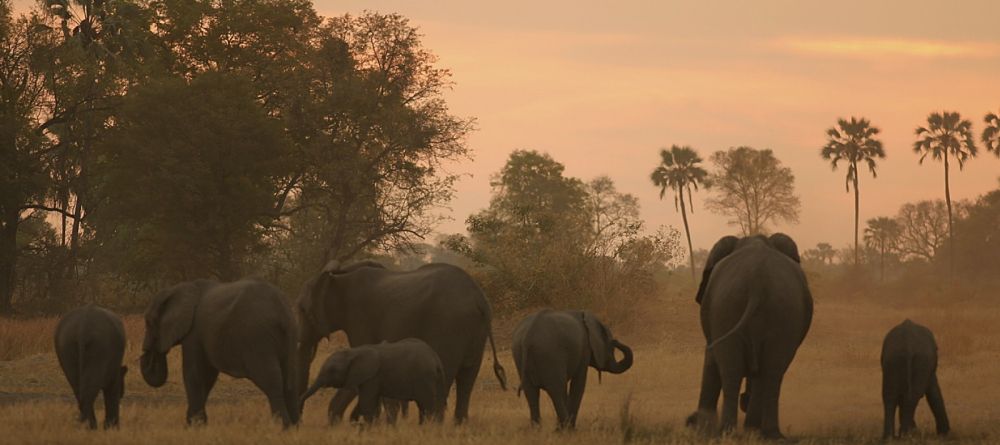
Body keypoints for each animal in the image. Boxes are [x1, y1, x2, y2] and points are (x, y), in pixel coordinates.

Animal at [139, 279, 300, 427]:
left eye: (148, 322)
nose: (147, 355)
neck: (177, 289)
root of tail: (282, 311)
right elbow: (207, 376)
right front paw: (198, 423)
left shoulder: (194, 333)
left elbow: (194, 373)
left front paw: (194, 425)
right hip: (289, 337)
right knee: (290, 381)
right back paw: (295, 427)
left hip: (258, 337)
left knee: (271, 381)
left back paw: (282, 427)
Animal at [300, 338, 446, 424]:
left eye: (332, 370)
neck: (353, 352)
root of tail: (436, 359)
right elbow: (369, 403)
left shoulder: (372, 377)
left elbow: (367, 403)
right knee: (424, 406)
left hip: (425, 378)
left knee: (427, 405)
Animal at [686, 233, 813, 439]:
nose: (744, 400)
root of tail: (757, 282)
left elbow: (711, 359)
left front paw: (700, 427)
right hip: (776, 312)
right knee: (771, 370)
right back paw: (765, 434)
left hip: (729, 308)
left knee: (737, 369)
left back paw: (731, 431)